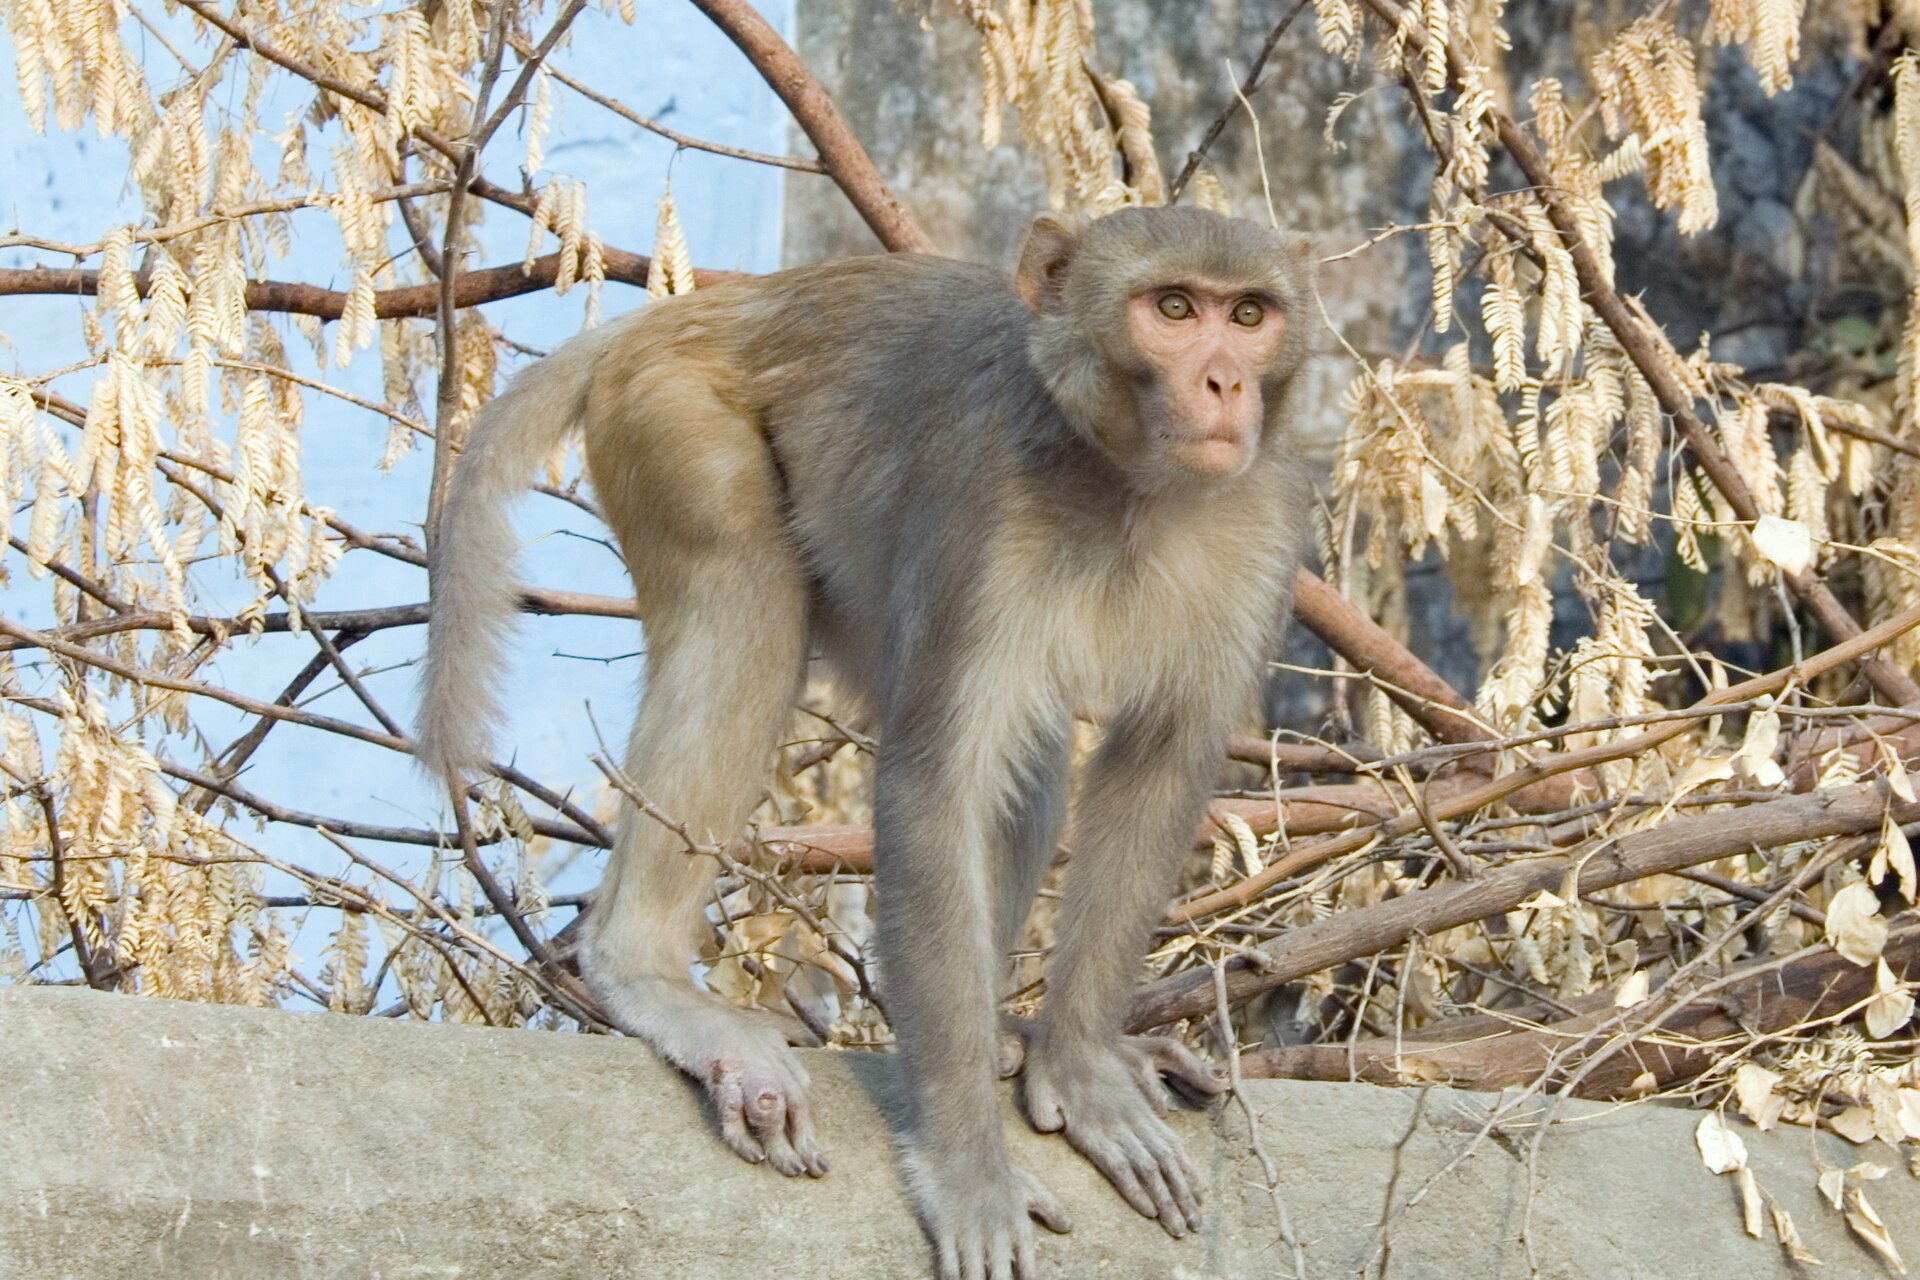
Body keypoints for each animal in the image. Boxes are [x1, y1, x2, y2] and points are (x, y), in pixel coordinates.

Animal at [416, 206, 1314, 1280]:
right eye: (1174, 309)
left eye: (1249, 314)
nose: (1224, 383)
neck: (1128, 481)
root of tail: (697, 309)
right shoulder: (986, 507)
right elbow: (932, 788)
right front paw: (968, 1165)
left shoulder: (1264, 527)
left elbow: (1157, 770)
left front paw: (1082, 1067)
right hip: (671, 417)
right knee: (746, 610)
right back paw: (649, 977)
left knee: (1027, 756)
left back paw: (1002, 1034)